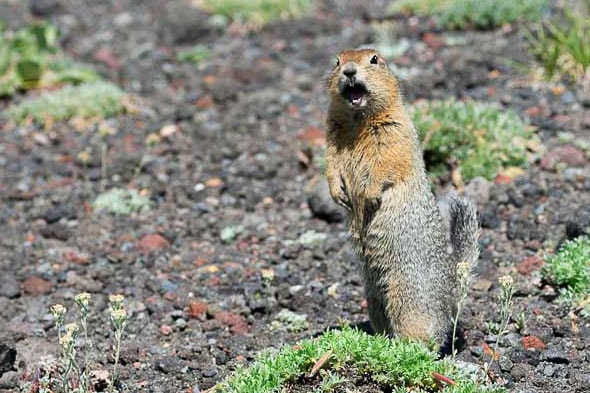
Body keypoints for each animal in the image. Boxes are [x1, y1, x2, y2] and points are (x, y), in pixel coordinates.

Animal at [326, 48, 484, 350]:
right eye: (336, 61)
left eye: (375, 59)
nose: (349, 70)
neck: (357, 121)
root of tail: (452, 297)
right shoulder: (331, 137)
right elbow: (330, 164)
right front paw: (337, 193)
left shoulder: (395, 131)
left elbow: (387, 161)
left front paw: (369, 194)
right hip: (373, 295)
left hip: (407, 297)